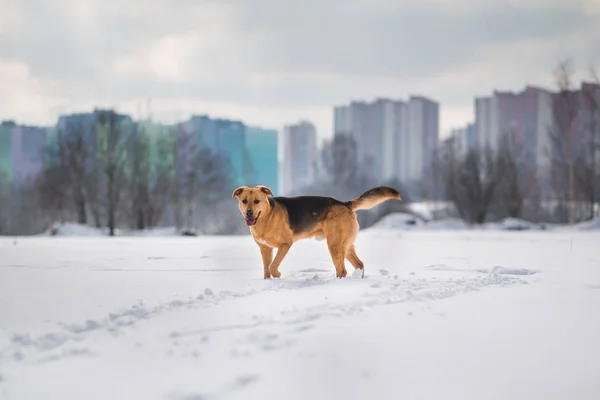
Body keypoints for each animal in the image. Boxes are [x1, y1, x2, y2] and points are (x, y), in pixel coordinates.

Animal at [232, 184, 400, 278]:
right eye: (244, 201)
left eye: (257, 201)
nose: (249, 213)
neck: (266, 217)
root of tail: (345, 204)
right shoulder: (265, 249)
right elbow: (266, 270)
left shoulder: (285, 244)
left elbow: (273, 266)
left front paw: (278, 275)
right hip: (344, 246)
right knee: (359, 264)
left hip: (334, 246)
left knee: (342, 270)